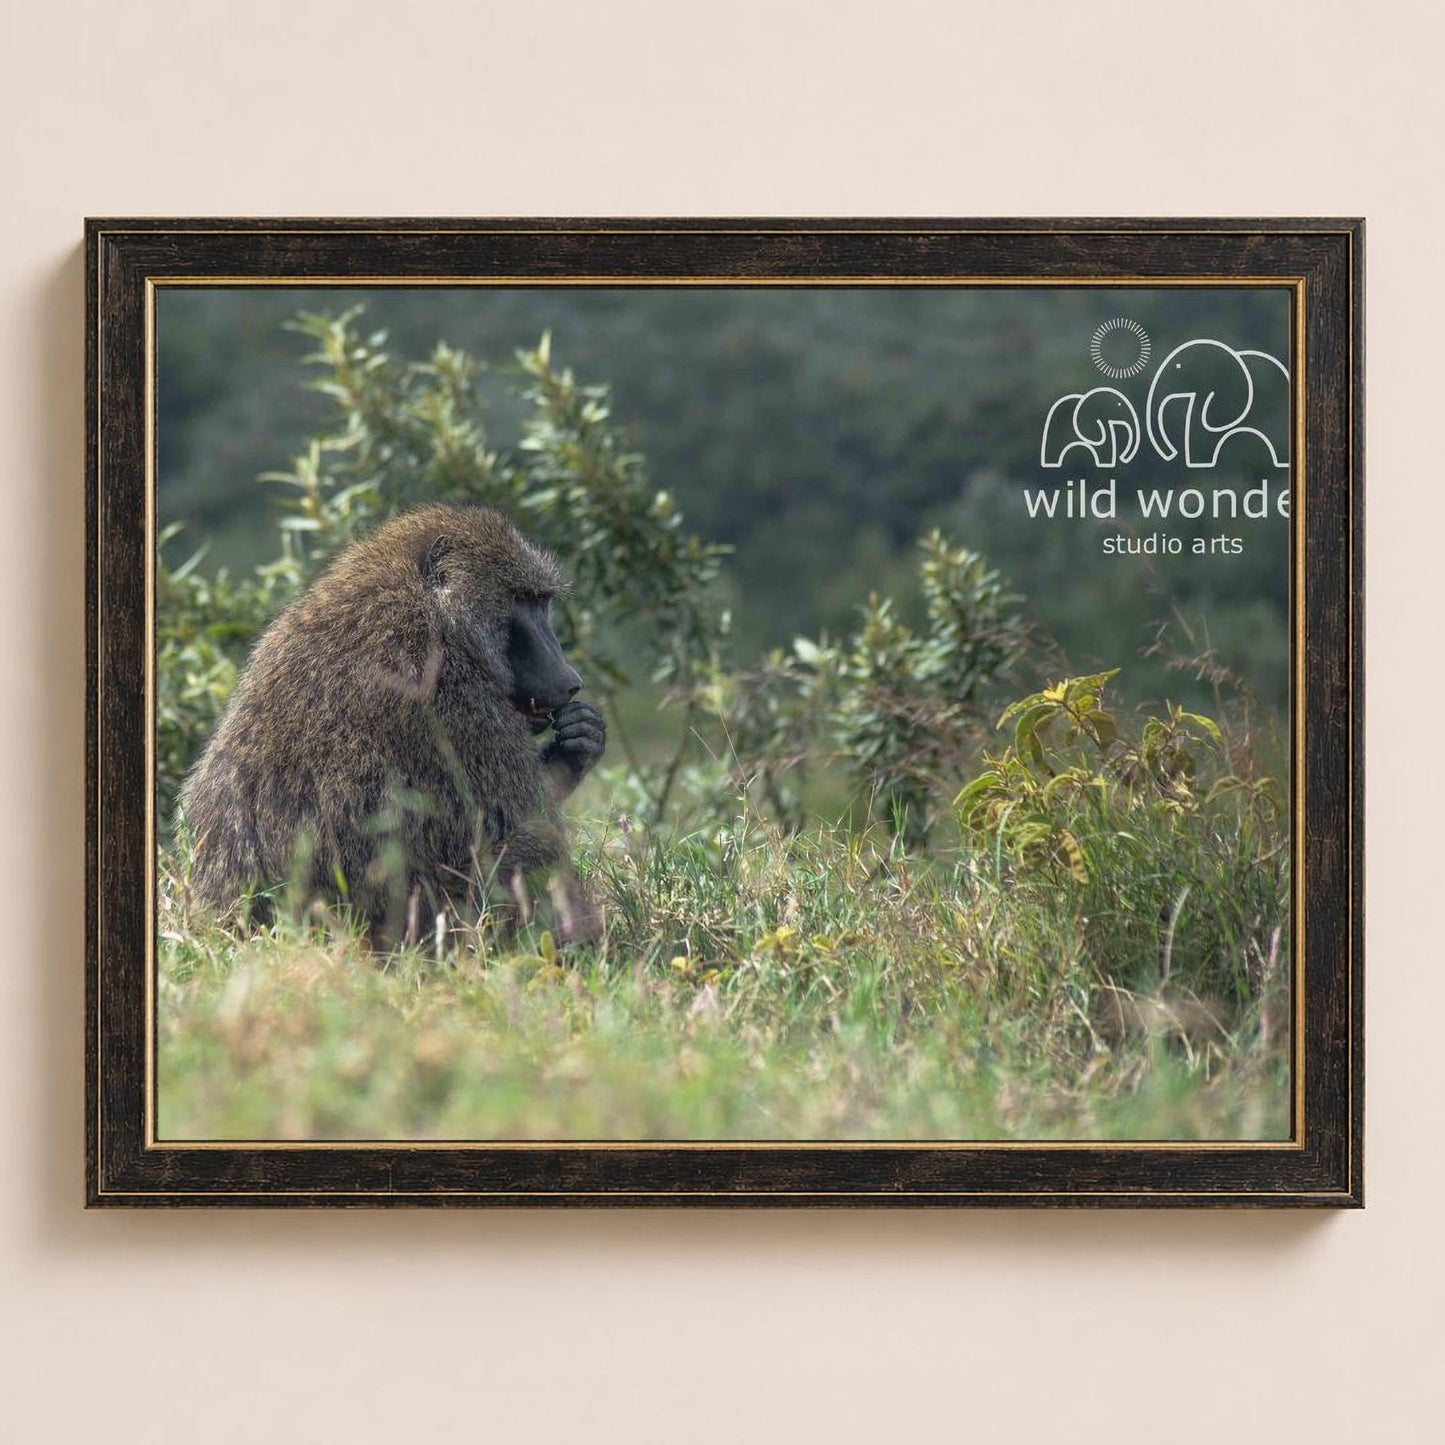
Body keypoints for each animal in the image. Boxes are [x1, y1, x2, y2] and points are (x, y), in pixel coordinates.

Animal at [179, 503, 606, 947]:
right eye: (522, 600)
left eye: (541, 601)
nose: (570, 681)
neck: (439, 614)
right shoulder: (444, 688)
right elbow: (520, 815)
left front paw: (581, 739)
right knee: (539, 845)